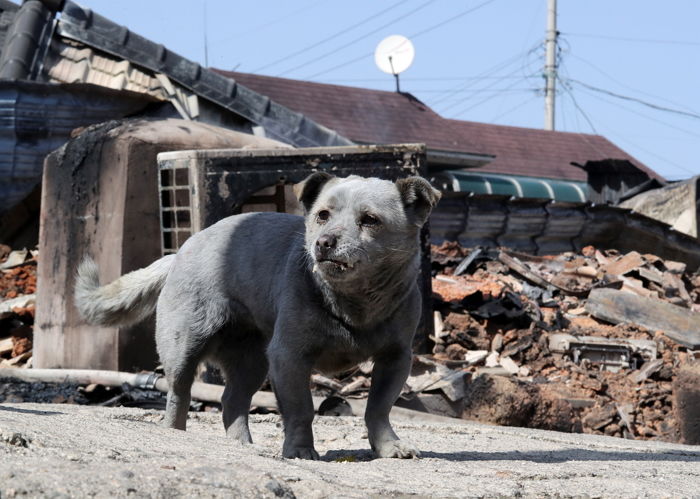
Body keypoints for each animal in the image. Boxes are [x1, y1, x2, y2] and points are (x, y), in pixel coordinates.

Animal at [75, 173, 438, 460]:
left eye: (370, 219)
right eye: (322, 215)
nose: (324, 242)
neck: (352, 302)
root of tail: (182, 249)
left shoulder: (396, 359)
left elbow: (378, 408)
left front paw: (389, 447)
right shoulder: (288, 358)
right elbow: (301, 409)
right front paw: (300, 450)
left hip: (252, 361)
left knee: (231, 401)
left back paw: (240, 444)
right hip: (184, 348)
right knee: (179, 394)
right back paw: (175, 432)